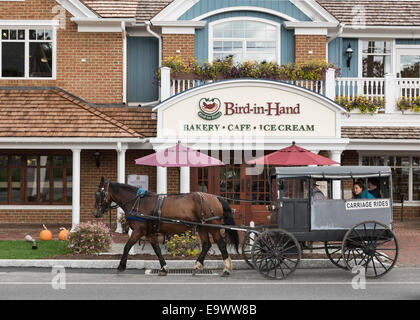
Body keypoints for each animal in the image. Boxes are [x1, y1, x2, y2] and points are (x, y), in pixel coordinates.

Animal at [94, 179, 240, 276]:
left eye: (99, 194)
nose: (96, 214)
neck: (138, 202)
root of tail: (216, 197)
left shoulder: (138, 231)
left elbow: (127, 247)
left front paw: (121, 266)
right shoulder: (150, 233)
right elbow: (157, 249)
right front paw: (164, 268)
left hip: (213, 227)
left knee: (221, 244)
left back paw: (226, 269)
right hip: (203, 227)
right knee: (206, 245)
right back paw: (198, 266)